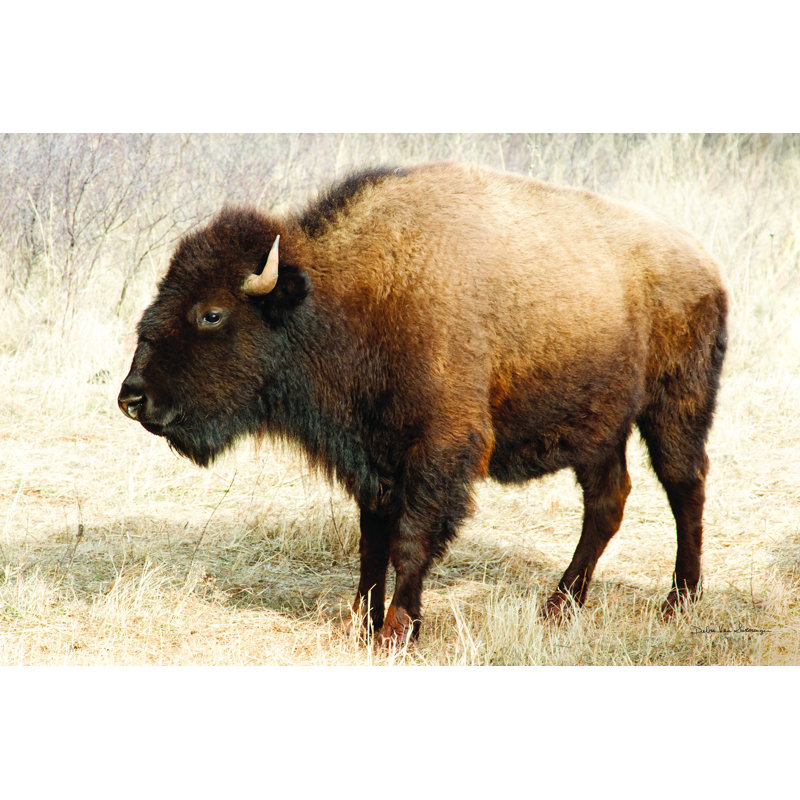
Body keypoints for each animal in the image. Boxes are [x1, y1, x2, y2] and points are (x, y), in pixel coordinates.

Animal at [119, 162, 727, 645]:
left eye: (212, 313)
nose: (132, 397)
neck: (345, 296)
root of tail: (706, 265)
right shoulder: (374, 459)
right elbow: (372, 542)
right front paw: (358, 623)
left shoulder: (438, 452)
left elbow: (410, 540)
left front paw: (395, 631)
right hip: (600, 429)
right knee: (607, 503)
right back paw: (560, 607)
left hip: (675, 407)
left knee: (684, 486)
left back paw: (679, 601)